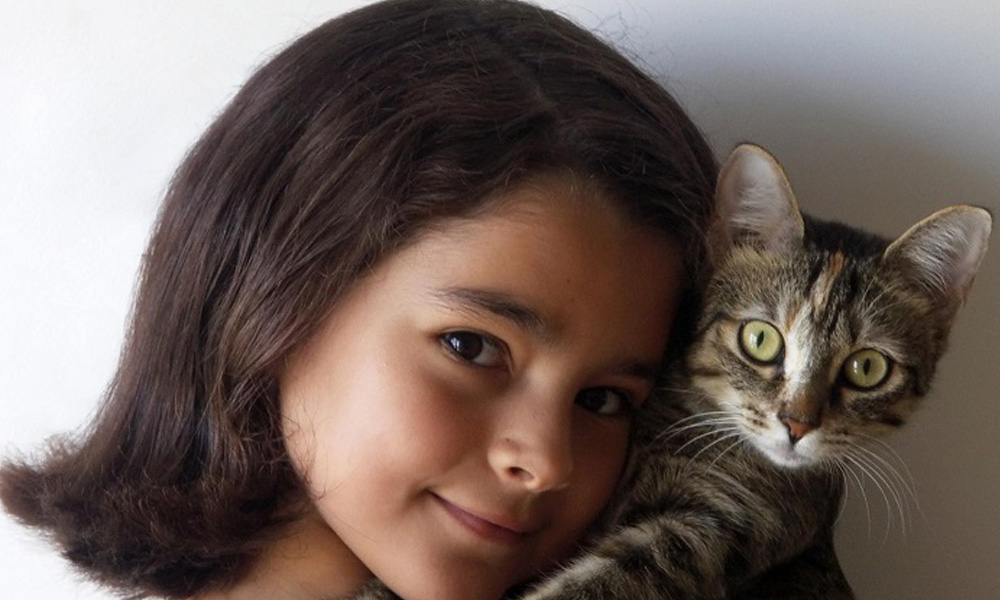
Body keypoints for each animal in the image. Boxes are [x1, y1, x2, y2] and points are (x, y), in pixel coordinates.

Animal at [354, 145, 992, 600]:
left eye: (867, 367)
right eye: (761, 339)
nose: (797, 424)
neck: (675, 430)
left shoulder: (721, 528)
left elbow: (606, 581)